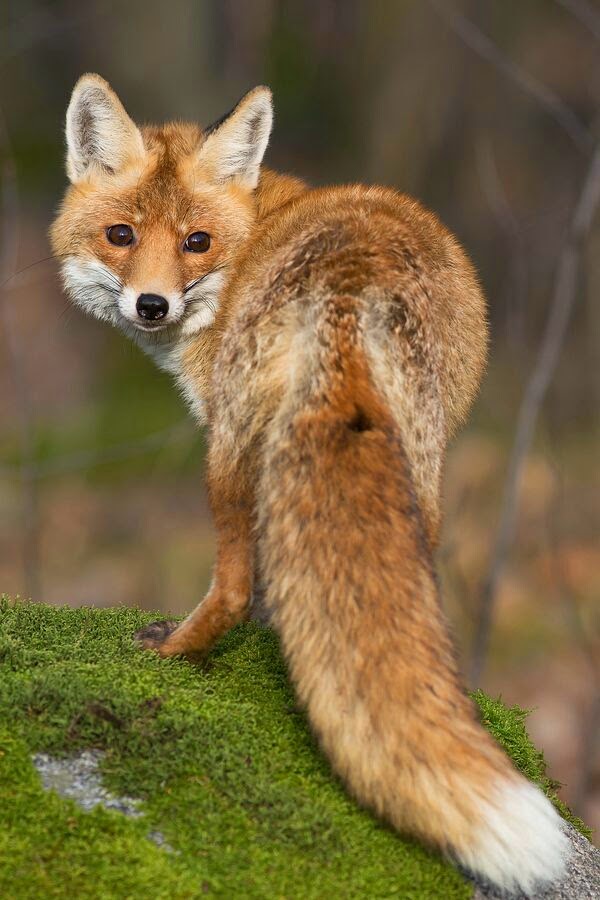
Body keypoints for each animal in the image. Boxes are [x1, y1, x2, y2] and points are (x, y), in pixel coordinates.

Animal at [51, 74, 571, 896]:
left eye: (196, 242)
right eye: (121, 235)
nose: (152, 306)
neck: (259, 228)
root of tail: (352, 287)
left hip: (229, 456)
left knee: (233, 585)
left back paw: (174, 654)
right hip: (420, 469)